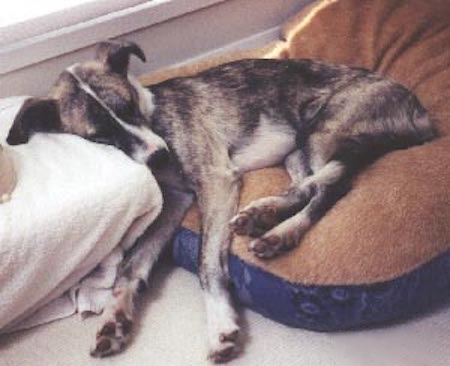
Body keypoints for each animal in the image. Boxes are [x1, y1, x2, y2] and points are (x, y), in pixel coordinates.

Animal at [7, 40, 436, 364]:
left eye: (128, 106)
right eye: (99, 137)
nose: (159, 157)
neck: (155, 115)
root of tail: (419, 110)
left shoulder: (216, 181)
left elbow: (207, 263)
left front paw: (220, 327)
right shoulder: (177, 200)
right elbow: (131, 266)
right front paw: (116, 319)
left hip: (324, 129)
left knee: (333, 185)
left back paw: (277, 230)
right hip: (297, 149)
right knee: (310, 185)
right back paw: (265, 217)